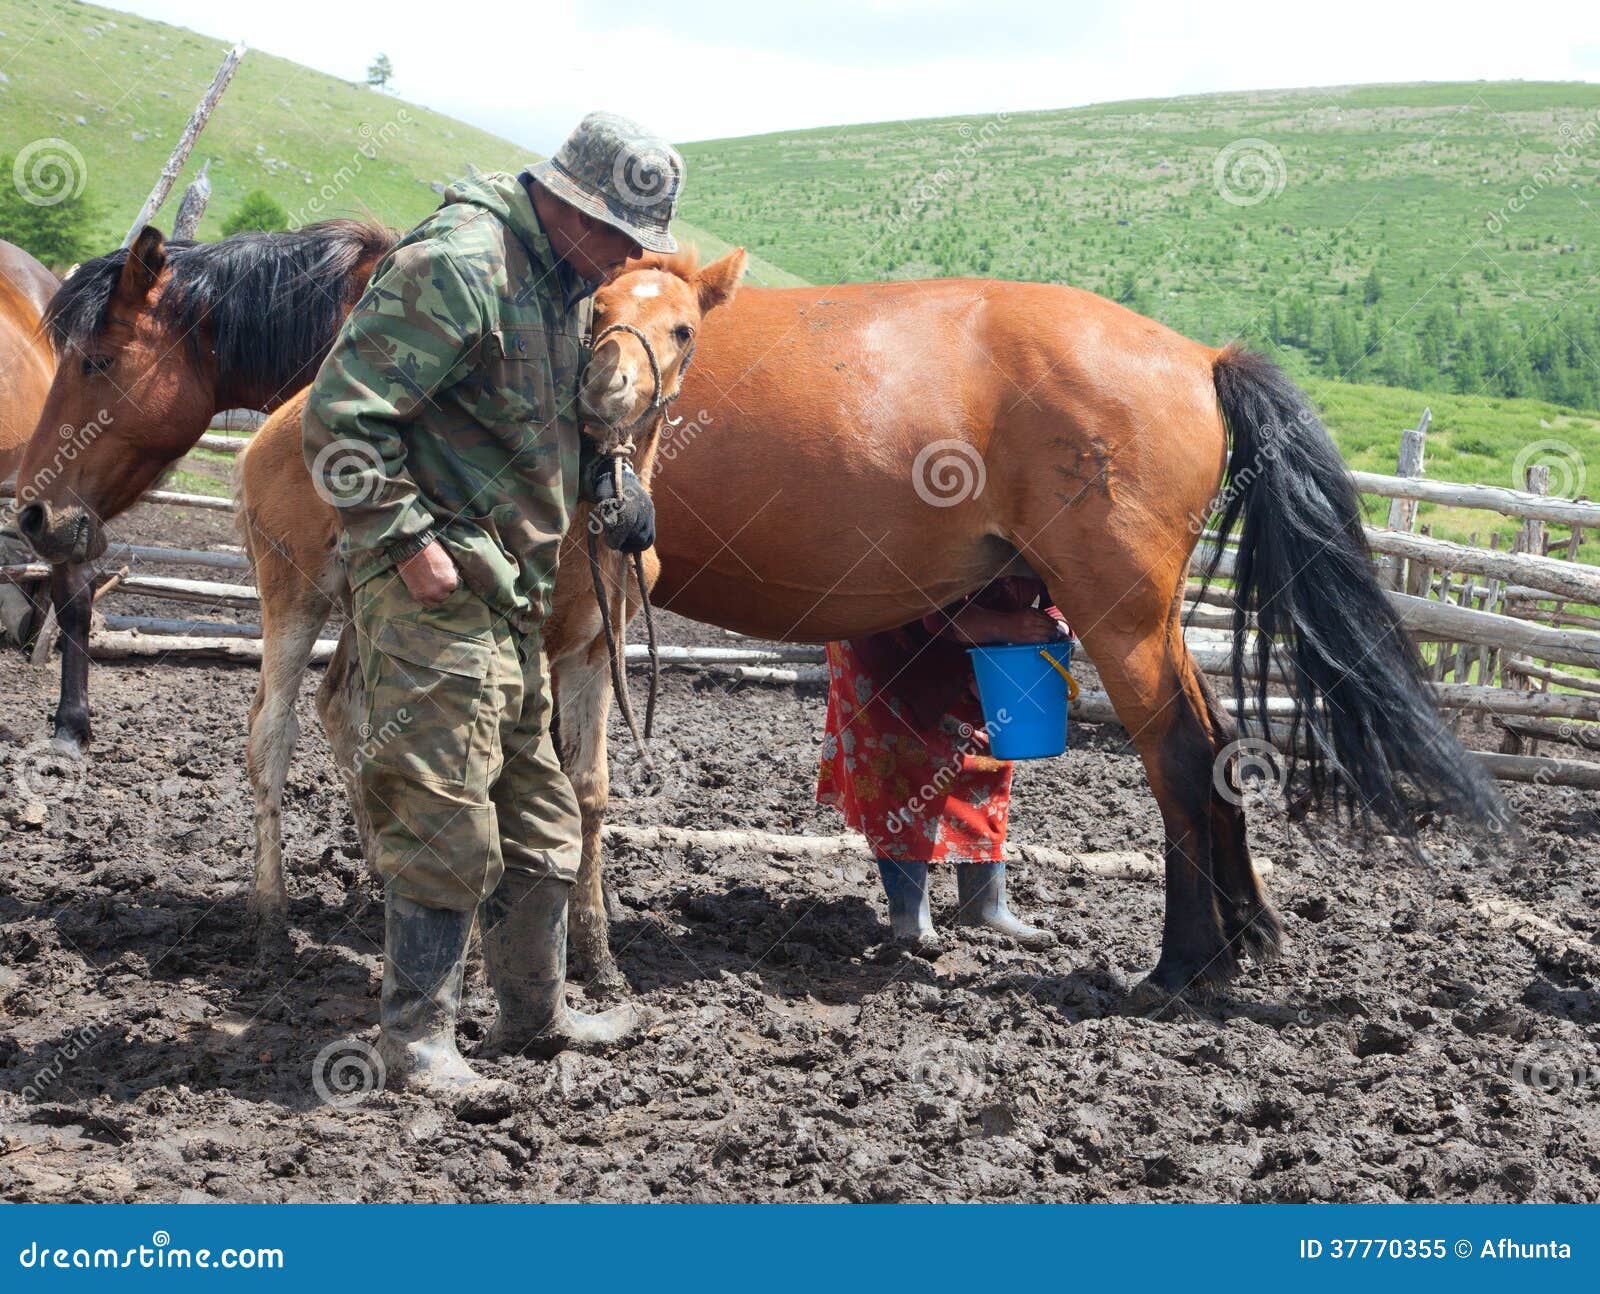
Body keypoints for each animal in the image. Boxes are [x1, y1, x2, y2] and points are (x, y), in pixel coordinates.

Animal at [236, 262, 1497, 991]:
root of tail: (1197, 355)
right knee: (1218, 750)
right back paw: (1240, 938)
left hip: (1122, 615)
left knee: (1181, 757)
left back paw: (1185, 962)